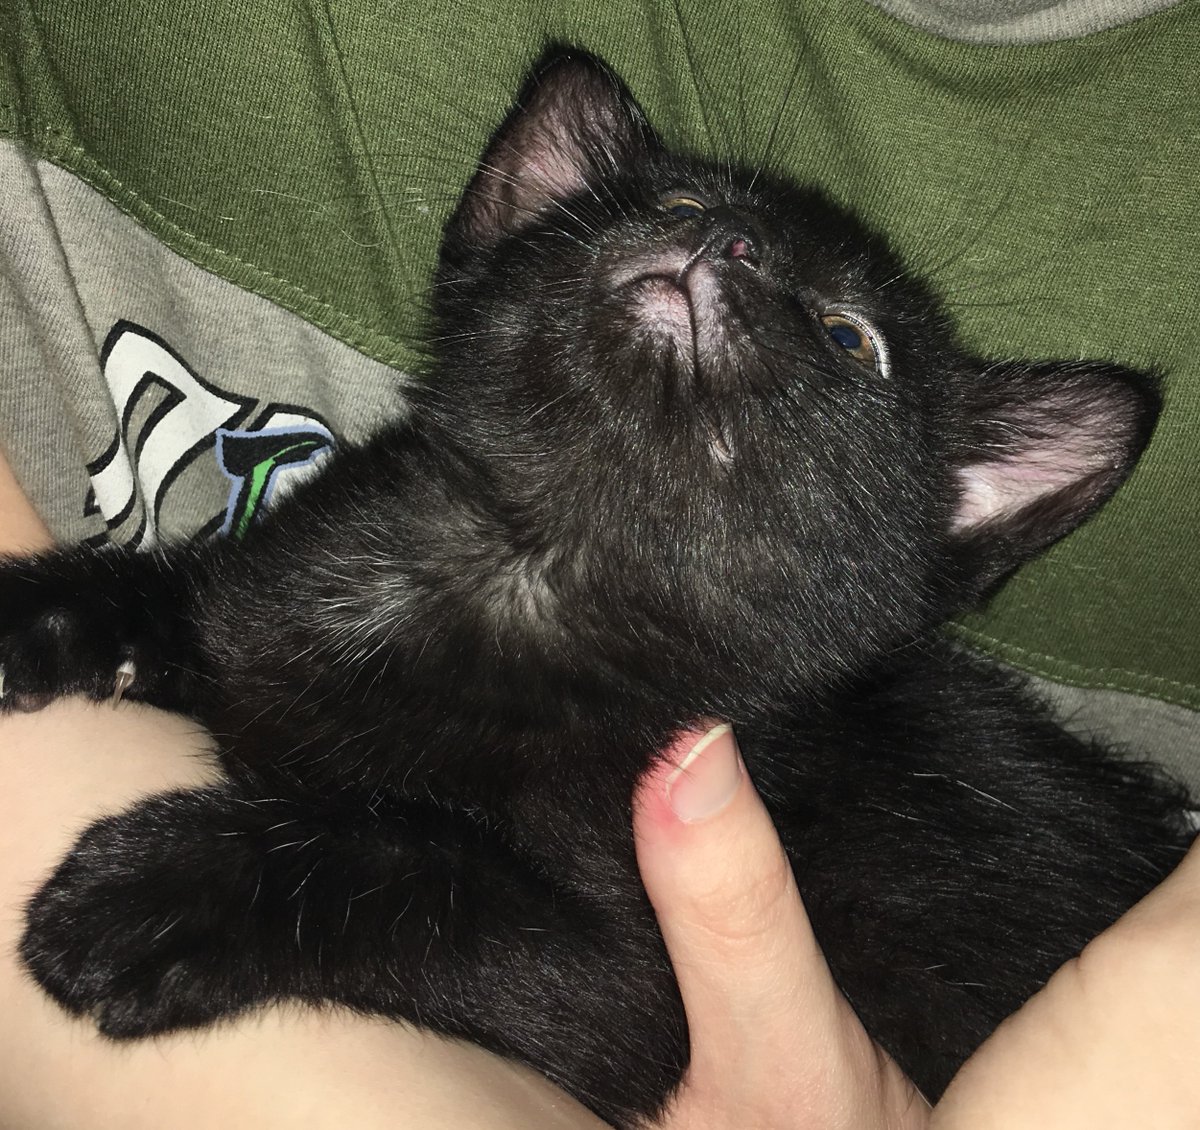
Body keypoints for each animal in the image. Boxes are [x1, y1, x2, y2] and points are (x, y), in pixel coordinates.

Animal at [3, 48, 1191, 1128]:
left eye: (851, 338)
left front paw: (157, 890)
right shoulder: (258, 611)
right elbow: (183, 601)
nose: (727, 239)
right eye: (678, 202)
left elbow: (420, 860)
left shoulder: (641, 999)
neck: (518, 561)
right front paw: (47, 616)